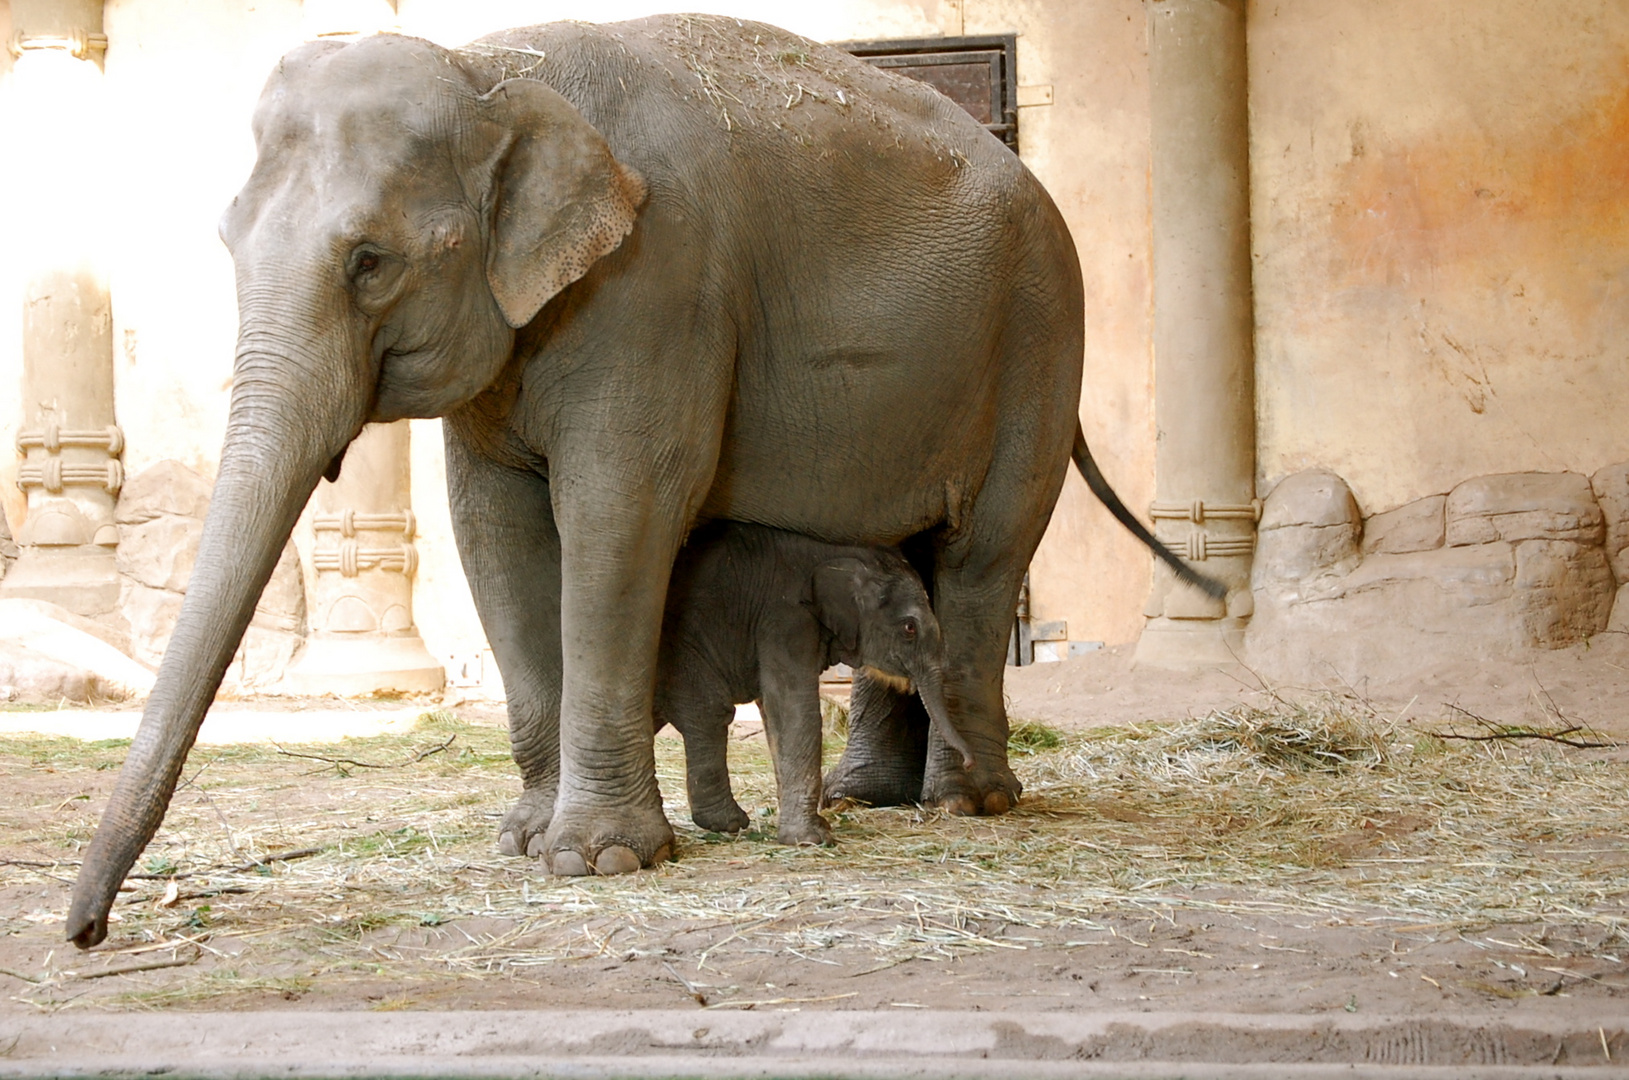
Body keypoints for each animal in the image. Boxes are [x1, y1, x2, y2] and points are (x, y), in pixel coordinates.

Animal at [654, 521, 970, 847]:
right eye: (909, 628)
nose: (969, 762)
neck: (839, 552)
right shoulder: (786, 618)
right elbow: (793, 707)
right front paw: (811, 838)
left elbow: (773, 712)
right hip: (688, 651)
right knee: (710, 713)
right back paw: (729, 821)